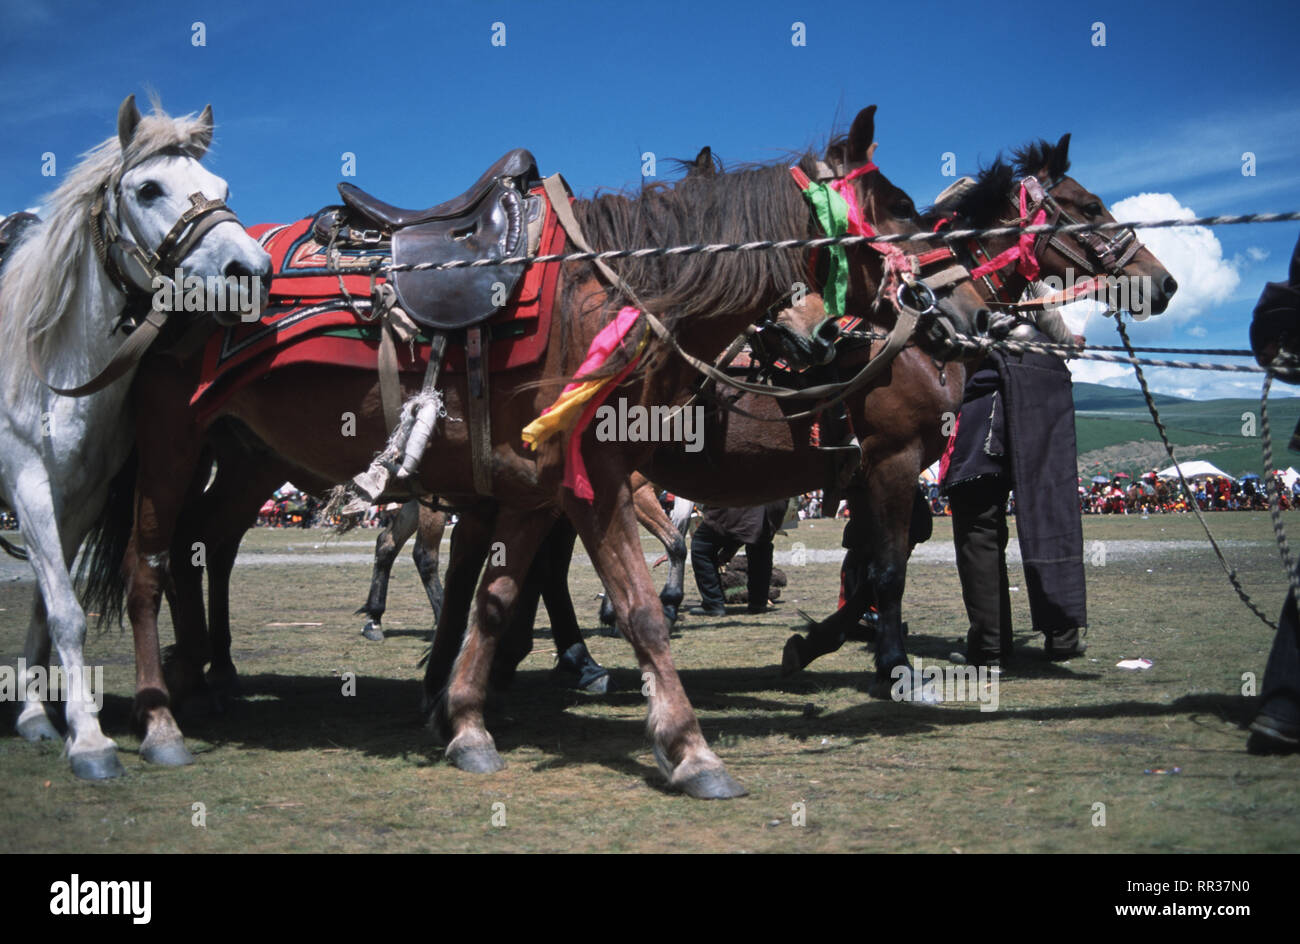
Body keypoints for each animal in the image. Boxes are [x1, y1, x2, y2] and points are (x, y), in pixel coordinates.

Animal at [0, 92, 270, 780]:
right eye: (148, 189)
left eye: (221, 188)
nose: (252, 271)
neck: (56, 364)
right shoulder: (29, 487)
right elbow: (67, 612)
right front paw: (90, 742)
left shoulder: (79, 499)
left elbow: (47, 604)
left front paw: (39, 717)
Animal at [101, 103, 987, 800]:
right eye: (897, 207)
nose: (961, 310)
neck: (615, 294)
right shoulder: (600, 478)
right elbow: (640, 609)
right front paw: (690, 747)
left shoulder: (535, 483)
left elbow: (495, 600)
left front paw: (464, 720)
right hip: (177, 438)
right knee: (151, 562)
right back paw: (163, 714)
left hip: (245, 454)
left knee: (206, 542)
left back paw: (208, 677)